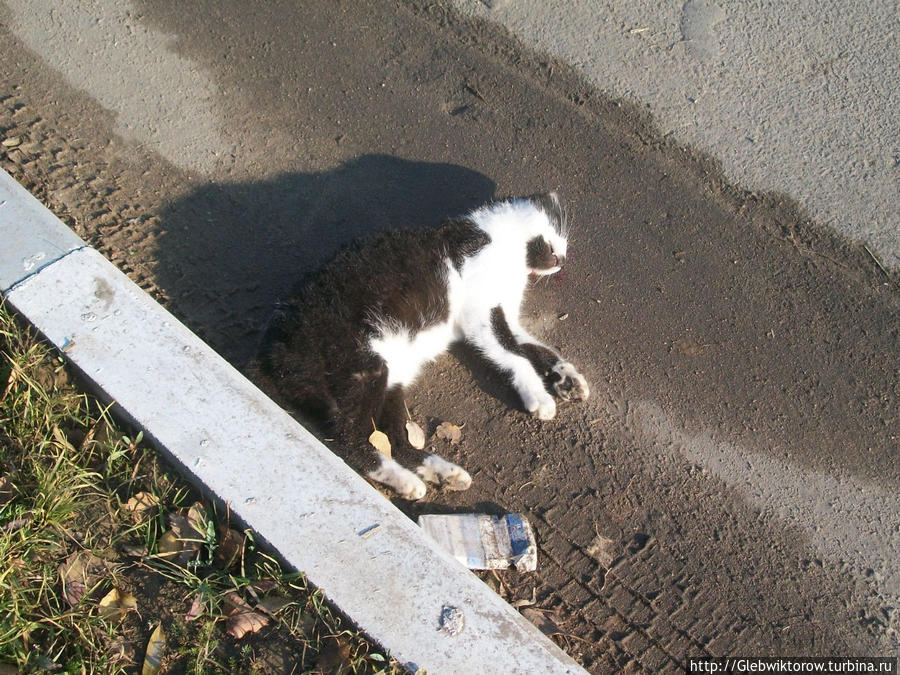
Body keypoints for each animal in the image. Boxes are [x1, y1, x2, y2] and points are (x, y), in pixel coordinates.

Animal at [251, 193, 592, 500]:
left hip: (391, 380)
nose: (561, 260)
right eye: (552, 237)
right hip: (362, 367)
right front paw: (540, 397)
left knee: (396, 439)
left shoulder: (502, 313)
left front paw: (567, 379)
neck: (495, 238)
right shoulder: (480, 314)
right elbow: (513, 354)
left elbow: (533, 347)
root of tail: (274, 350)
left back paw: (443, 473)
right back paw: (404, 481)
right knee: (348, 436)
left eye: (562, 235)